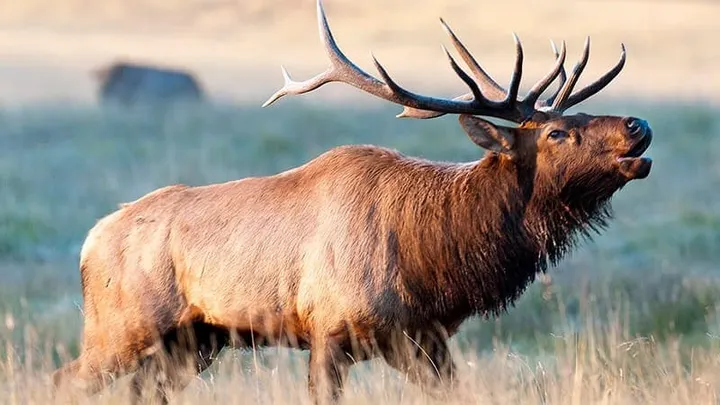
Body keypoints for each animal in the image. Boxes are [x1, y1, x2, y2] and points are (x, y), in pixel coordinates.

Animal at [52, 1, 653, 404]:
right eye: (556, 133)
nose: (637, 124)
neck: (433, 260)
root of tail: (89, 241)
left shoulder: (424, 339)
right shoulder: (329, 330)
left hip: (194, 340)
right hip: (121, 327)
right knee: (65, 379)